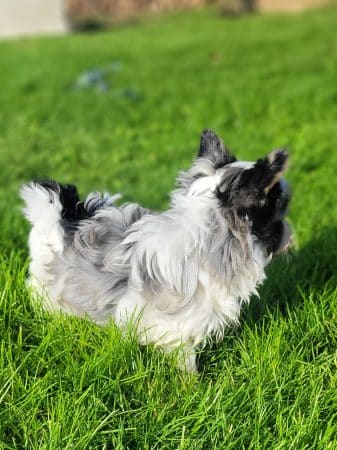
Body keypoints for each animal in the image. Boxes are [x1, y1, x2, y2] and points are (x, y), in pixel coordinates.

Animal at [21, 130, 290, 372]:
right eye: (277, 209)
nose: (289, 232)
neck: (209, 236)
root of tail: (63, 220)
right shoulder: (175, 324)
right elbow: (185, 355)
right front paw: (192, 384)